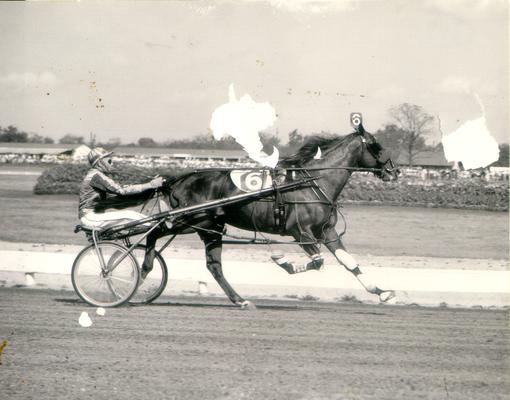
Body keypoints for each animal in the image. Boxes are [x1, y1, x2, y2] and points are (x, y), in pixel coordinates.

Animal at [141, 123, 400, 308]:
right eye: (376, 145)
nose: (394, 171)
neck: (312, 182)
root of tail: (178, 180)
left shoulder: (327, 231)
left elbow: (348, 262)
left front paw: (382, 292)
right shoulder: (301, 232)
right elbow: (318, 261)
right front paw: (283, 261)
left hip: (210, 227)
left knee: (214, 266)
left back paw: (240, 300)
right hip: (188, 220)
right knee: (153, 232)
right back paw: (143, 270)